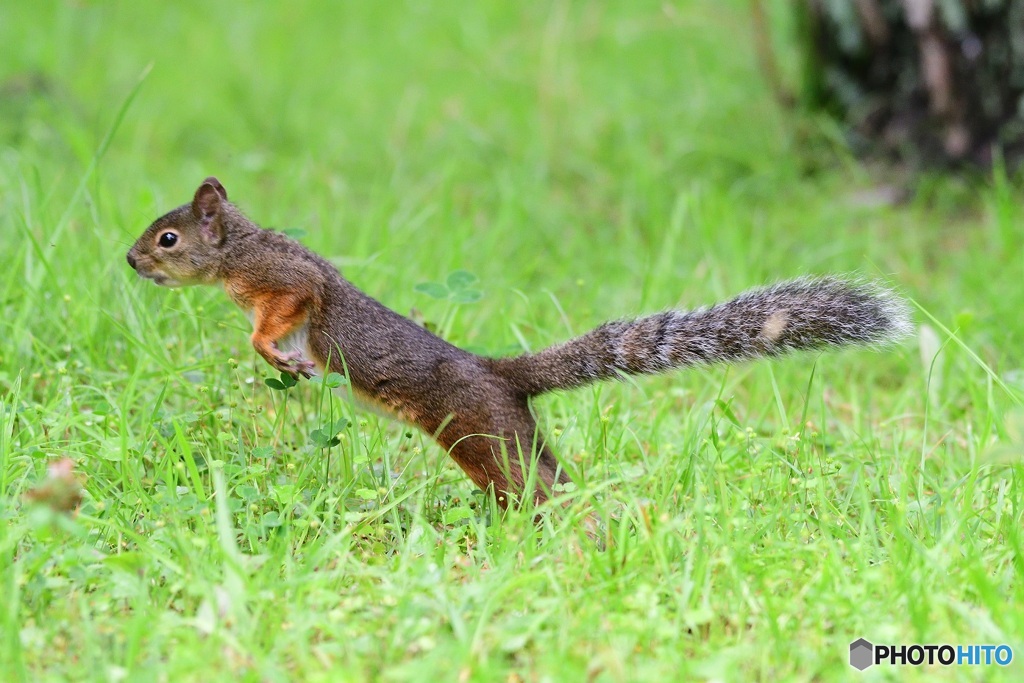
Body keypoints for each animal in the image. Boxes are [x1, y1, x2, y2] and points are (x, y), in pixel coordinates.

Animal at [128, 179, 913, 509]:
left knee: (530, 485)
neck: (238, 251)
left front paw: (274, 354)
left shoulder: (284, 281)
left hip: (481, 435)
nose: (131, 261)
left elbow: (282, 316)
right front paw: (288, 366)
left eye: (167, 238)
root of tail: (498, 374)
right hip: (509, 435)